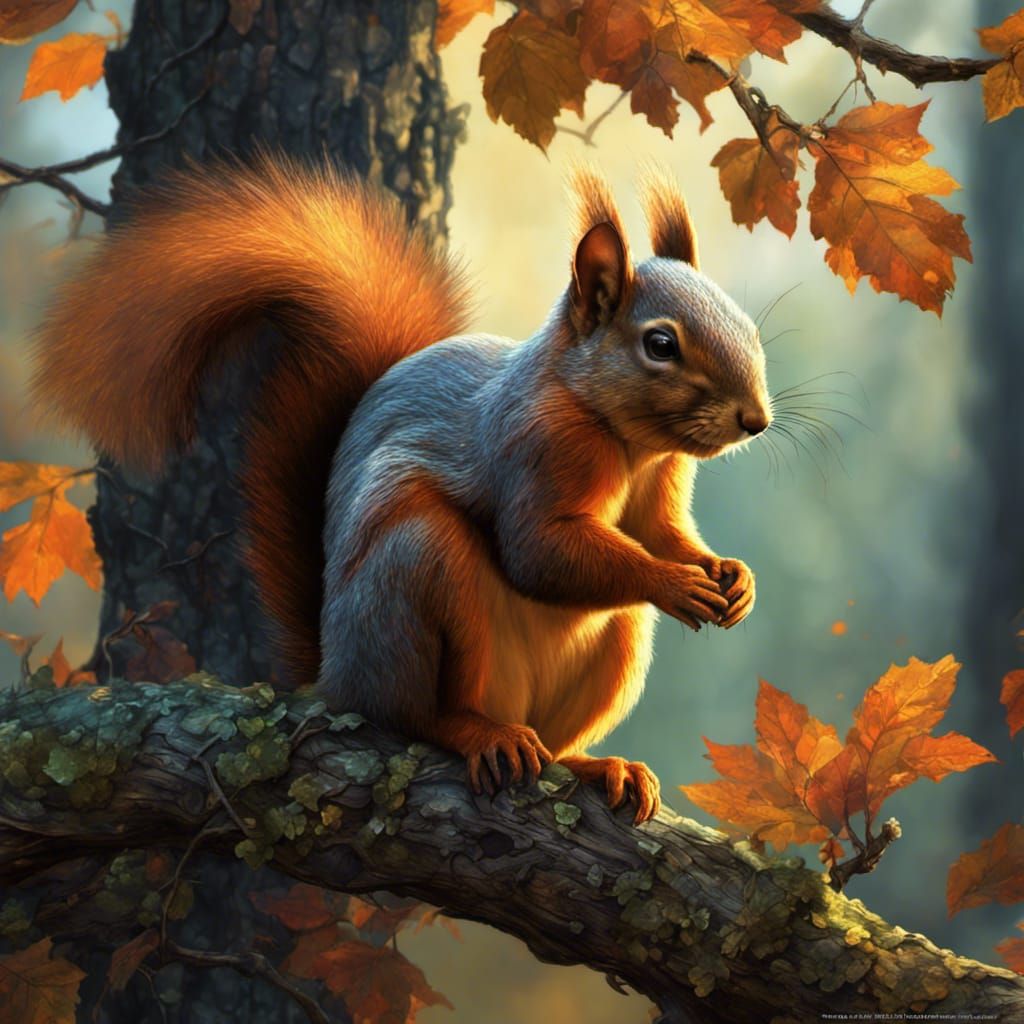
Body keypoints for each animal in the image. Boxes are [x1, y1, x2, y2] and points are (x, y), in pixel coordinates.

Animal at [31, 154, 771, 824]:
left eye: (747, 326)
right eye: (660, 344)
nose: (756, 420)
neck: (626, 440)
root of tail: (333, 675)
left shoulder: (661, 483)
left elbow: (659, 533)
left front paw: (730, 576)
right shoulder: (531, 447)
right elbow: (539, 551)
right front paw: (675, 584)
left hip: (614, 649)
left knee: (558, 745)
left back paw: (598, 766)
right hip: (415, 575)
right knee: (415, 713)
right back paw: (479, 733)